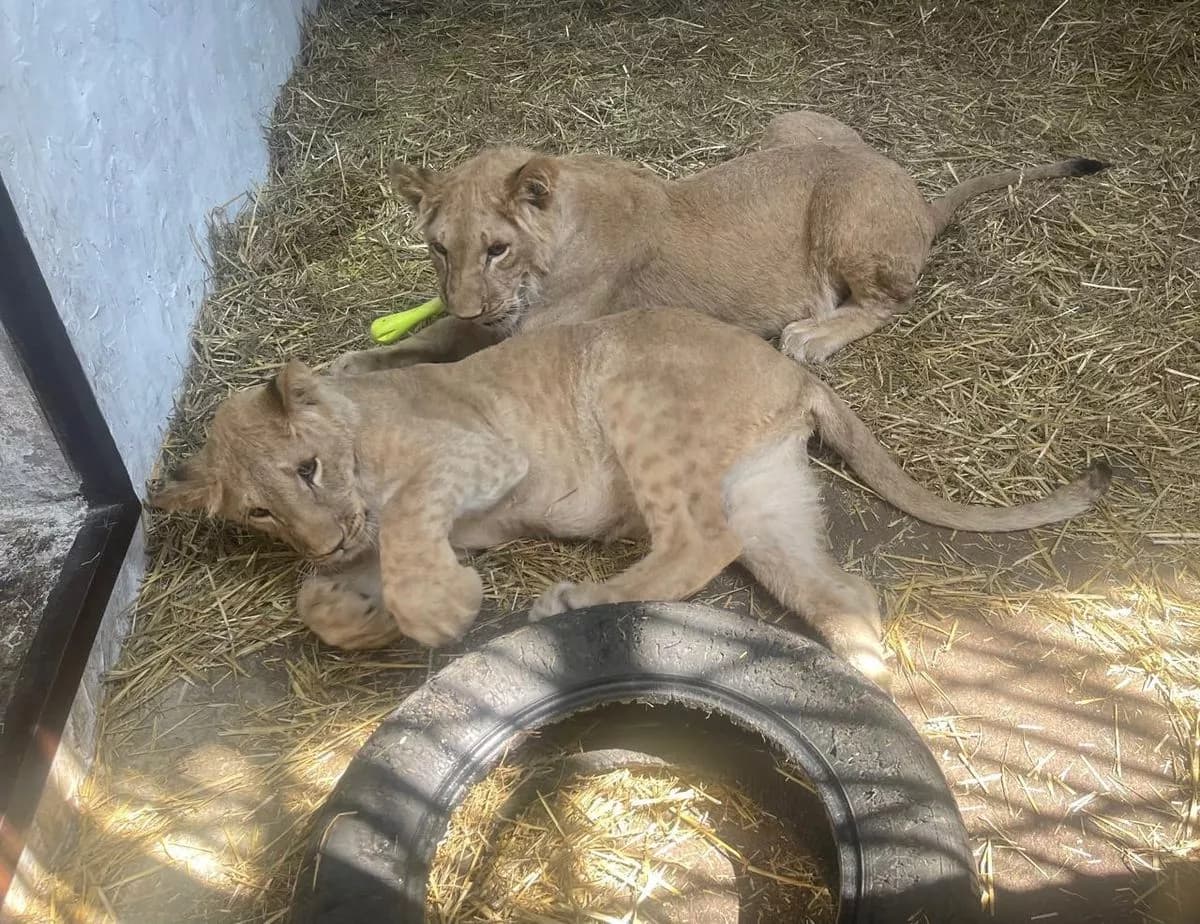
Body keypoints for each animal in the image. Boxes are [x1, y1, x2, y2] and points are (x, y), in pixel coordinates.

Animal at [152, 308, 1109, 686]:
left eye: (306, 468)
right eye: (257, 512)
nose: (321, 539)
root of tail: (794, 373)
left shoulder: (477, 455)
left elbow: (413, 526)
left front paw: (437, 610)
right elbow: (319, 597)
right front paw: (362, 618)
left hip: (631, 389)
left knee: (694, 541)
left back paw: (574, 600)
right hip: (767, 499)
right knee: (834, 586)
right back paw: (864, 673)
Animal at [333, 111, 1107, 375]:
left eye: (497, 247)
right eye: (440, 247)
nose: (466, 303)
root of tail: (918, 195)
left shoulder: (536, 333)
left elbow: (453, 360)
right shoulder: (489, 315)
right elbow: (432, 338)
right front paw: (354, 361)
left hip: (844, 206)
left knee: (889, 299)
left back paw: (813, 334)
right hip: (787, 122)